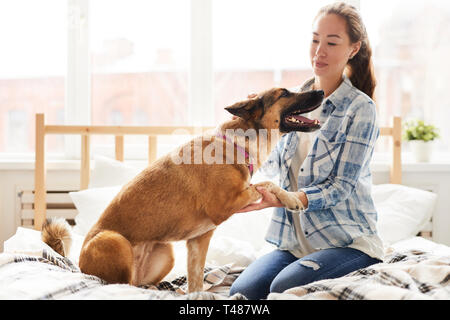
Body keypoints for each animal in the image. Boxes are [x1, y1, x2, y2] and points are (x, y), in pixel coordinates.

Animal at [42, 87, 324, 292]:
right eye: (285, 93)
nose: (321, 91)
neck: (237, 143)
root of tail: (78, 265)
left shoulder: (199, 240)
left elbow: (195, 279)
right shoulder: (224, 206)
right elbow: (266, 183)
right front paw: (292, 199)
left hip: (165, 252)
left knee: (139, 283)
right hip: (115, 241)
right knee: (122, 286)